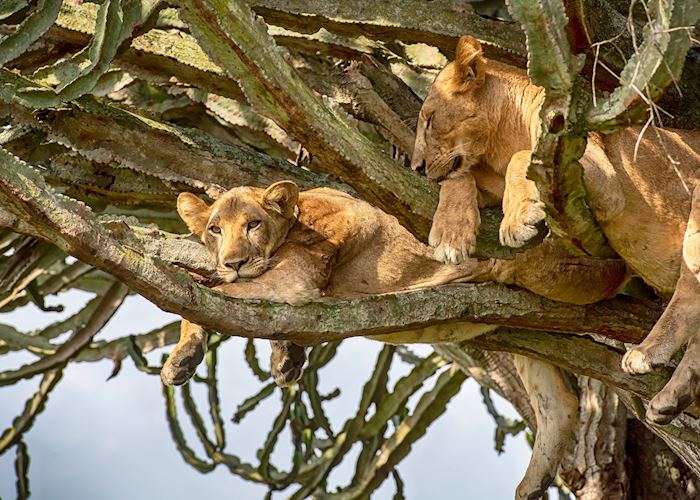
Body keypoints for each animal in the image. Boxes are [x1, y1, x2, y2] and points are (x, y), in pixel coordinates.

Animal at [161, 180, 626, 499]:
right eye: (215, 229)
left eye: (253, 224)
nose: (233, 262)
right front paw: (283, 361)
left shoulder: (294, 279)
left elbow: (200, 293)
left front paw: (183, 356)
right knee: (559, 405)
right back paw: (533, 484)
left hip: (553, 270)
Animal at [411, 35, 700, 426]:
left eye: (429, 119)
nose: (417, 167)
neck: (501, 136)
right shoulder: (488, 177)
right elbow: (459, 178)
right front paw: (451, 236)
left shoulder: (597, 172)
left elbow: (521, 158)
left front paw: (517, 222)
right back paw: (671, 398)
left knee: (689, 294)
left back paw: (647, 354)